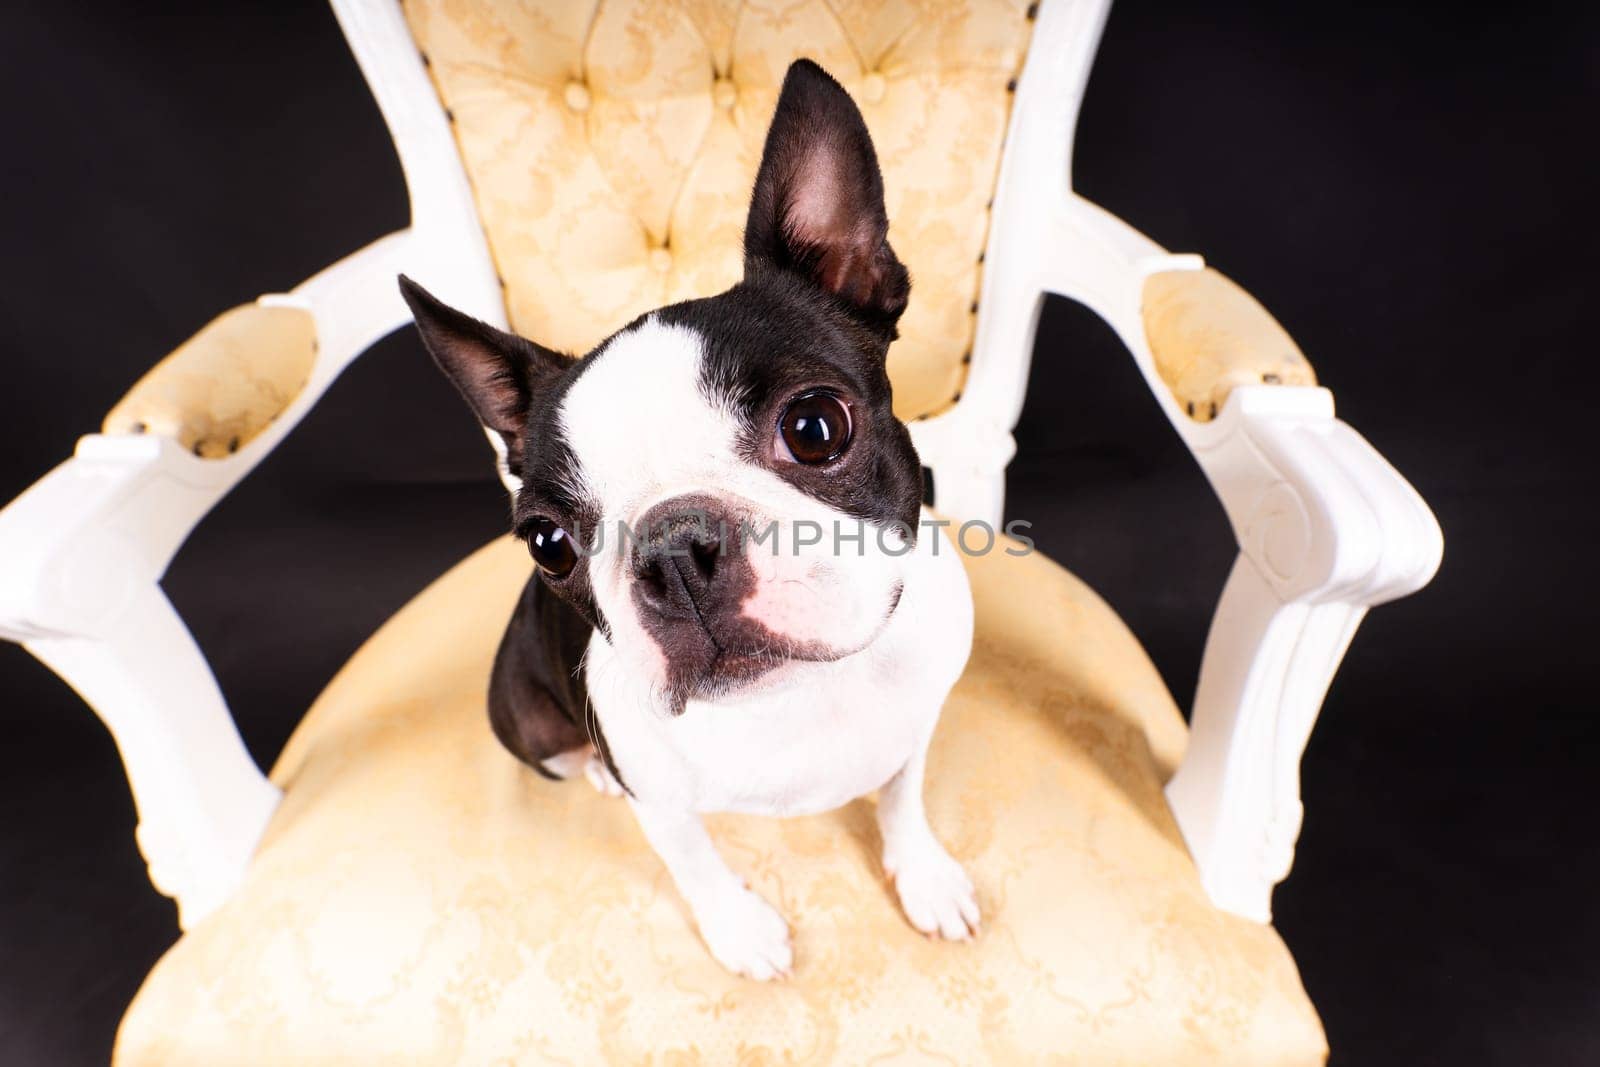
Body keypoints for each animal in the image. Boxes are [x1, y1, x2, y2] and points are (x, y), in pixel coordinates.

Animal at [400, 56, 972, 979]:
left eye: (816, 427)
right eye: (548, 543)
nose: (672, 551)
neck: (799, 695)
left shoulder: (917, 723)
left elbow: (902, 798)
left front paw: (921, 872)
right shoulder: (662, 802)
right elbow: (696, 862)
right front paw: (740, 930)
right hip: (520, 712)